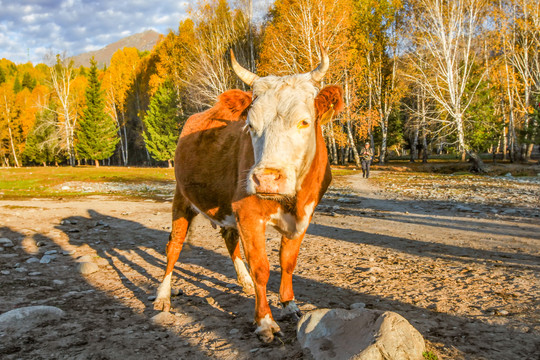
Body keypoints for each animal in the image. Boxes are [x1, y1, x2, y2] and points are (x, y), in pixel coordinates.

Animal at [154, 43, 344, 342]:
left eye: (304, 122)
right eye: (251, 126)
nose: (266, 178)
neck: (291, 201)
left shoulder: (305, 214)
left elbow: (288, 261)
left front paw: (289, 304)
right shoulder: (248, 213)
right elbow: (261, 267)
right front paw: (265, 321)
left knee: (230, 240)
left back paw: (243, 282)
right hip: (181, 198)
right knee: (174, 246)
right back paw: (163, 296)